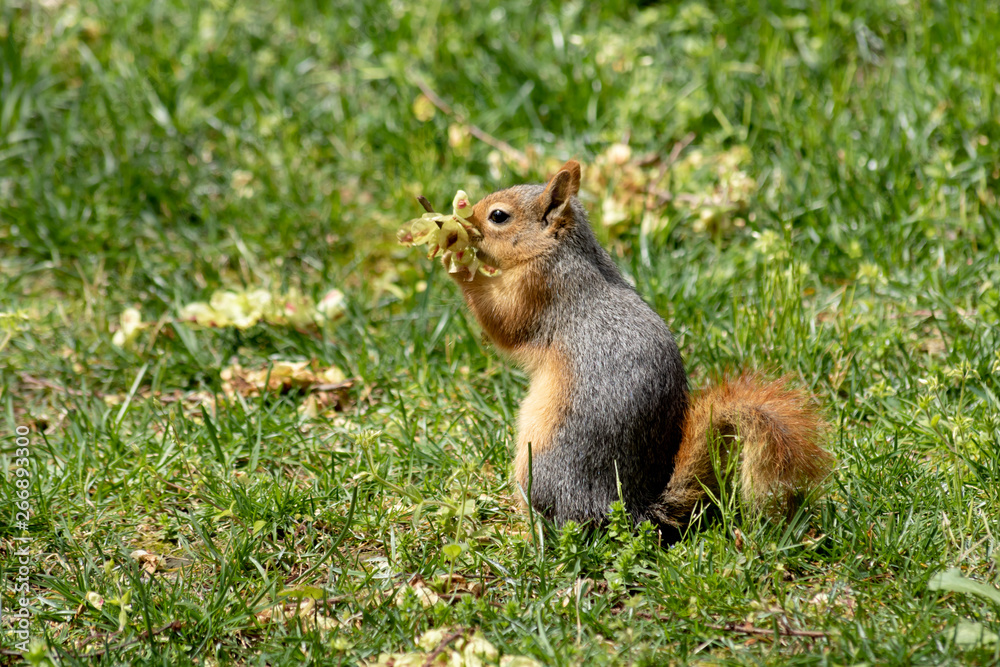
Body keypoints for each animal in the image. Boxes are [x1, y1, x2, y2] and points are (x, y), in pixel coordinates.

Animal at [444, 160, 833, 542]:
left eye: (498, 216)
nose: (465, 220)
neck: (560, 249)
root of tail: (630, 508)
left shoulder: (540, 289)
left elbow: (503, 322)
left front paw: (456, 257)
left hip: (540, 461)